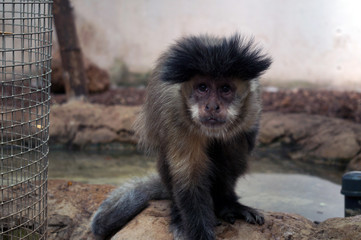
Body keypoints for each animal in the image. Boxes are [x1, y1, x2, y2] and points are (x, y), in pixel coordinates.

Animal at [91, 33, 272, 240]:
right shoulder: (174, 112)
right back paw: (178, 214)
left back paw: (224, 203)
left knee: (234, 147)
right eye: (203, 87)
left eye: (225, 89)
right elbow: (188, 178)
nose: (212, 106)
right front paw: (200, 233)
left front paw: (226, 204)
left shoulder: (252, 106)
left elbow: (241, 141)